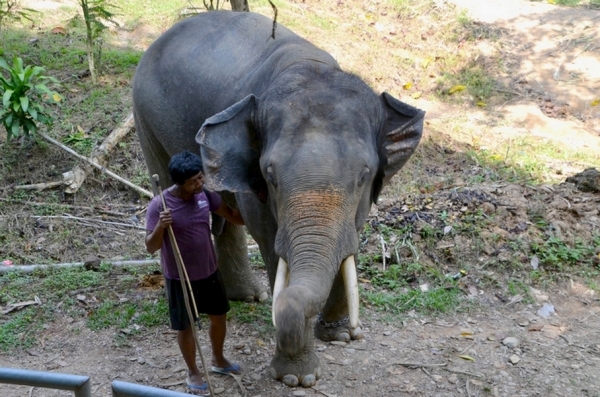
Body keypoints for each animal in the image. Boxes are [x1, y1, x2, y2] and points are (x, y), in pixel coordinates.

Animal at [134, 10, 424, 386]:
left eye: (364, 176)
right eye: (270, 176)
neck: (308, 67)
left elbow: (350, 237)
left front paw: (340, 336)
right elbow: (271, 244)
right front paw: (297, 378)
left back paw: (248, 296)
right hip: (144, 115)